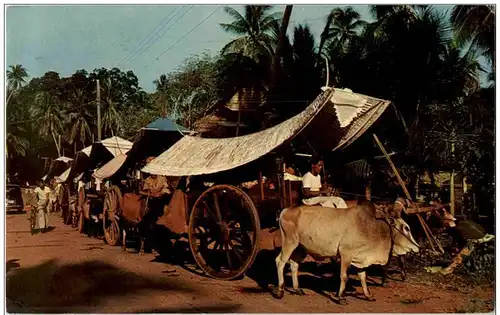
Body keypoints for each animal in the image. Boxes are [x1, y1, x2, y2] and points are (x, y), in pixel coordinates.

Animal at [272, 201, 420, 304]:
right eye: (406, 228)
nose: (418, 247)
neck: (372, 228)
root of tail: (286, 209)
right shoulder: (345, 254)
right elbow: (344, 276)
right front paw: (340, 297)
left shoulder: (361, 259)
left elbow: (363, 277)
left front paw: (368, 295)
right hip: (290, 242)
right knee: (280, 261)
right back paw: (280, 291)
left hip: (301, 248)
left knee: (294, 265)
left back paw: (297, 289)